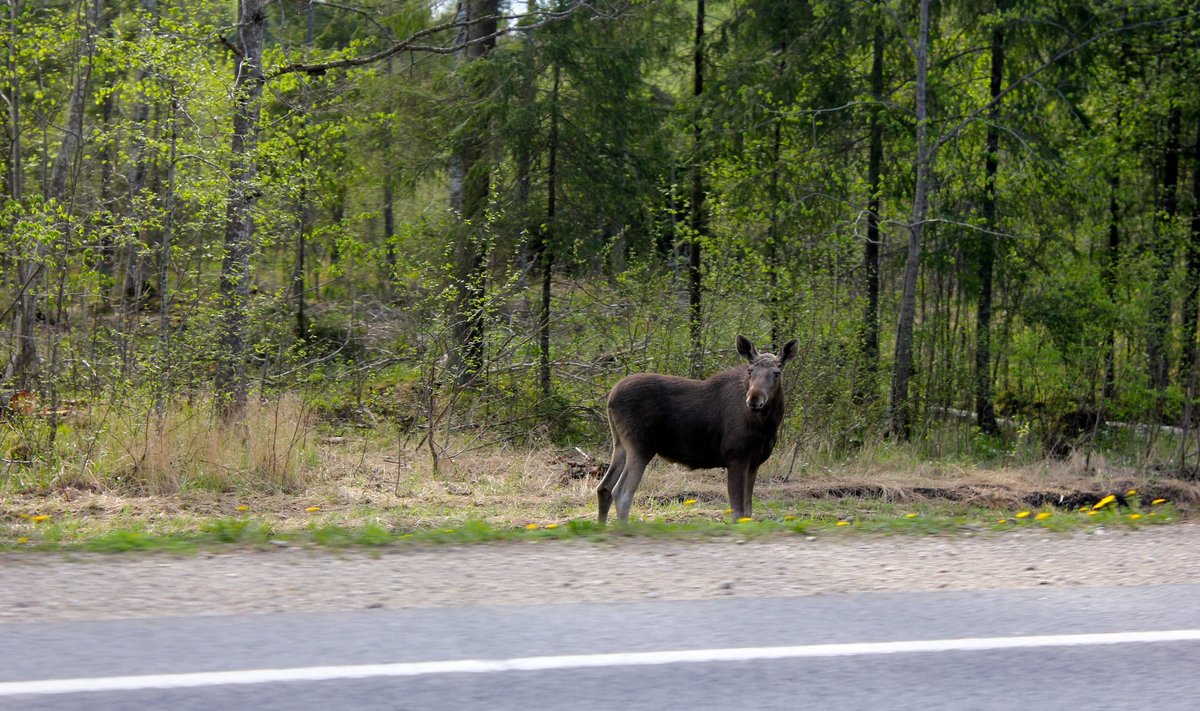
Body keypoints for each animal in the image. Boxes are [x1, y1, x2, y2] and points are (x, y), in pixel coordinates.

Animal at [597, 333, 796, 521]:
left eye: (777, 373)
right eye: (750, 370)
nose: (754, 399)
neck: (767, 425)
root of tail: (610, 397)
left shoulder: (754, 462)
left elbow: (748, 511)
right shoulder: (736, 457)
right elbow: (738, 511)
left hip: (620, 444)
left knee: (604, 487)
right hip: (640, 446)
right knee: (622, 493)